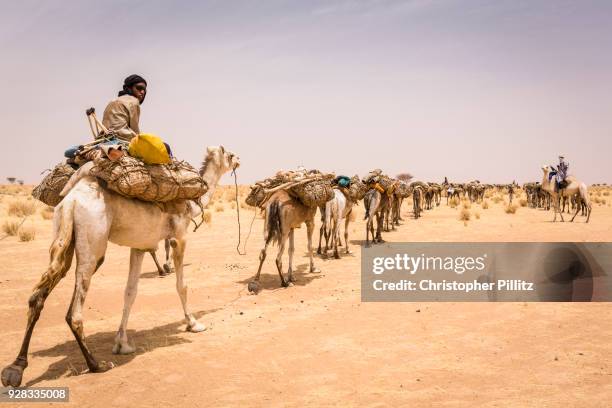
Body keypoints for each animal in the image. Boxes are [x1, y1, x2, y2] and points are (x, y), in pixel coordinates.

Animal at [0, 146, 239, 386]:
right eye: (230, 155)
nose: (238, 160)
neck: (192, 204)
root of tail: (71, 201)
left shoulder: (139, 246)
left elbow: (130, 292)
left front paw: (122, 344)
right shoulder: (179, 237)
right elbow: (182, 286)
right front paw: (193, 323)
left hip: (62, 235)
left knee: (38, 295)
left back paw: (16, 368)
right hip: (93, 244)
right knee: (74, 311)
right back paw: (97, 365)